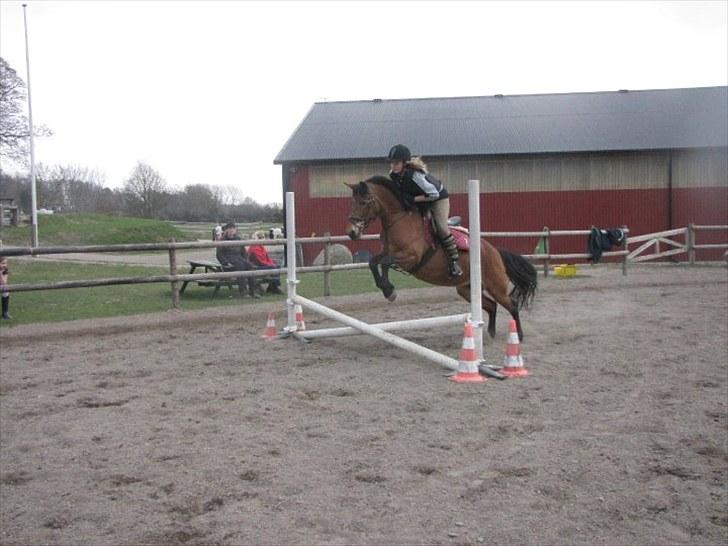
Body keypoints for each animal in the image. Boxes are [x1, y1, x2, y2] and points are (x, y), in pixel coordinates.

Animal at [344, 175, 536, 340]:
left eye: (364, 202)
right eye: (352, 202)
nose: (351, 232)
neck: (398, 220)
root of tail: (494, 251)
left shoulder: (410, 258)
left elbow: (384, 263)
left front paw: (389, 290)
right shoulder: (388, 253)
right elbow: (373, 262)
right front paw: (385, 288)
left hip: (495, 286)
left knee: (511, 304)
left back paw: (518, 335)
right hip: (466, 289)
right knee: (492, 305)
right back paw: (490, 333)